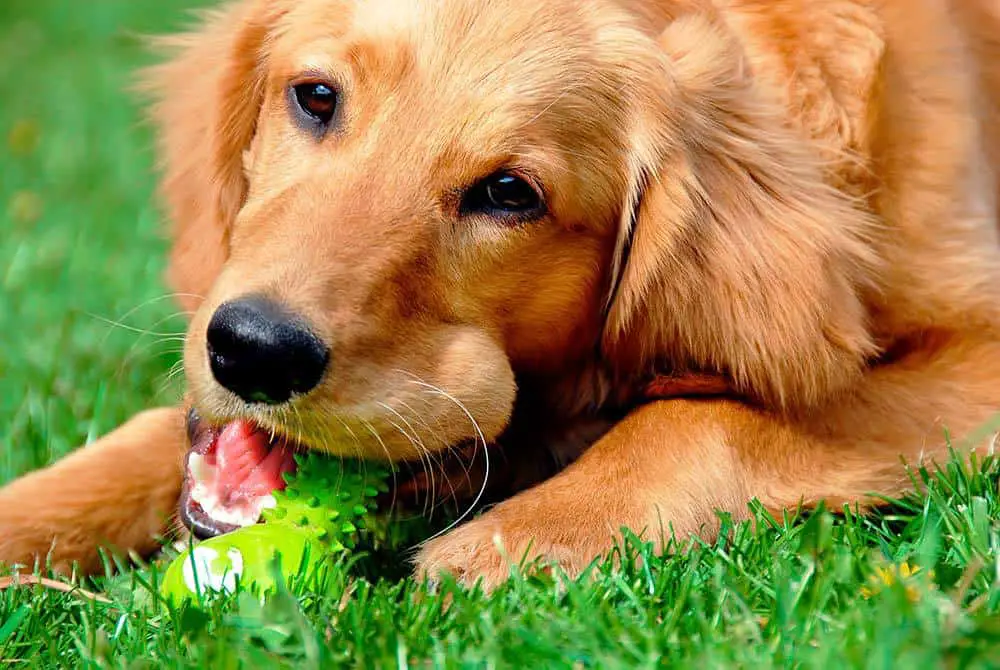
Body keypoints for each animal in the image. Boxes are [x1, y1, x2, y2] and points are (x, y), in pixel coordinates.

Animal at [1, 0, 1000, 592]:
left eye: (510, 194)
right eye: (315, 97)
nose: (254, 350)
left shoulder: (974, 342)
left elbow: (706, 415)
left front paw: (517, 541)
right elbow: (139, 443)